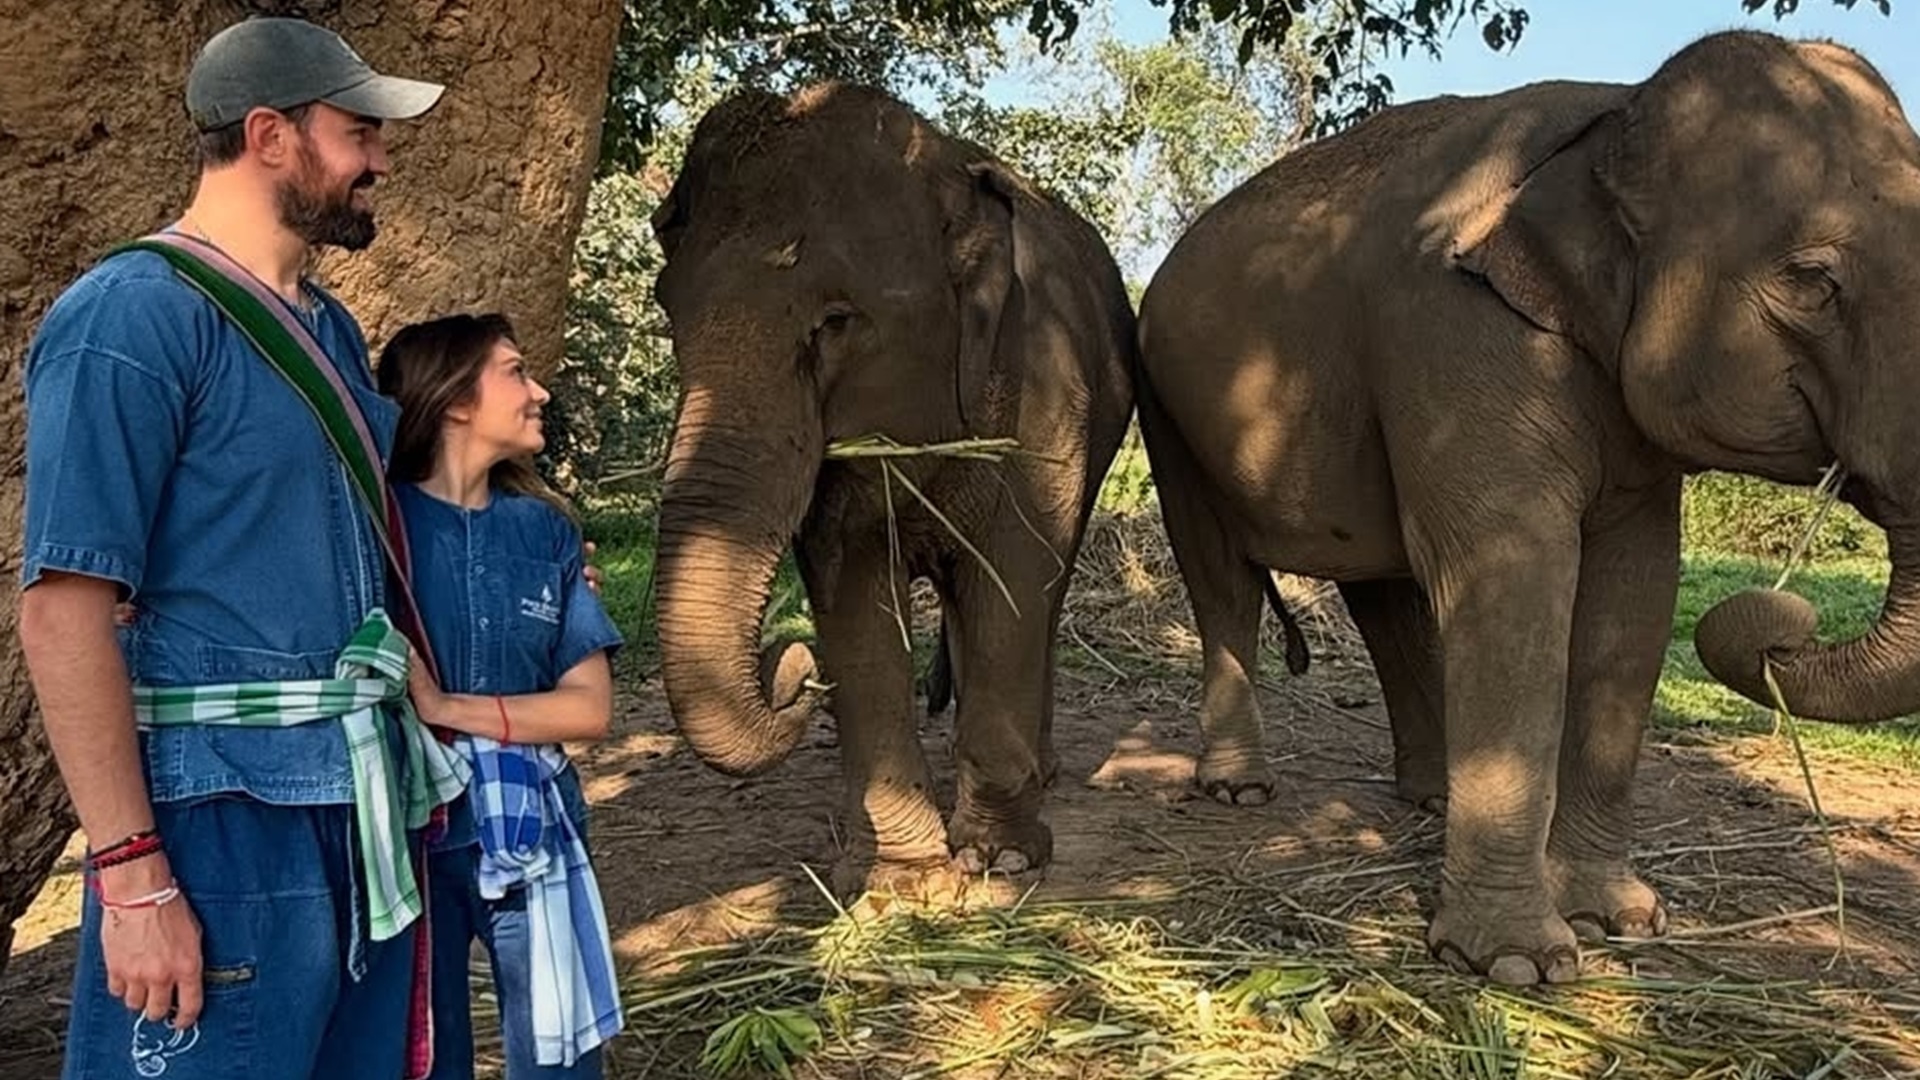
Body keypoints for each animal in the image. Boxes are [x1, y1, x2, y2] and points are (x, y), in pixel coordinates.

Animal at [652, 84, 1136, 891]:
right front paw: (903, 877)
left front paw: (999, 858)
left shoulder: (1048, 385)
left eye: (835, 320)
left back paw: (1041, 774)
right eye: (669, 317)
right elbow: (854, 588)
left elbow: (1013, 575)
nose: (791, 667)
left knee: (1041, 592)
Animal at [1136, 29, 1920, 980]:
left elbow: (1636, 594)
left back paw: (1433, 798)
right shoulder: (1461, 331)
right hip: (1167, 409)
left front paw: (1620, 921)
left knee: (1384, 594)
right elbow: (1514, 576)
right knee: (1221, 578)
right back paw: (1241, 788)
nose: (1782, 631)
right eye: (1813, 281)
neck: (1617, 111)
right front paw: (1518, 964)